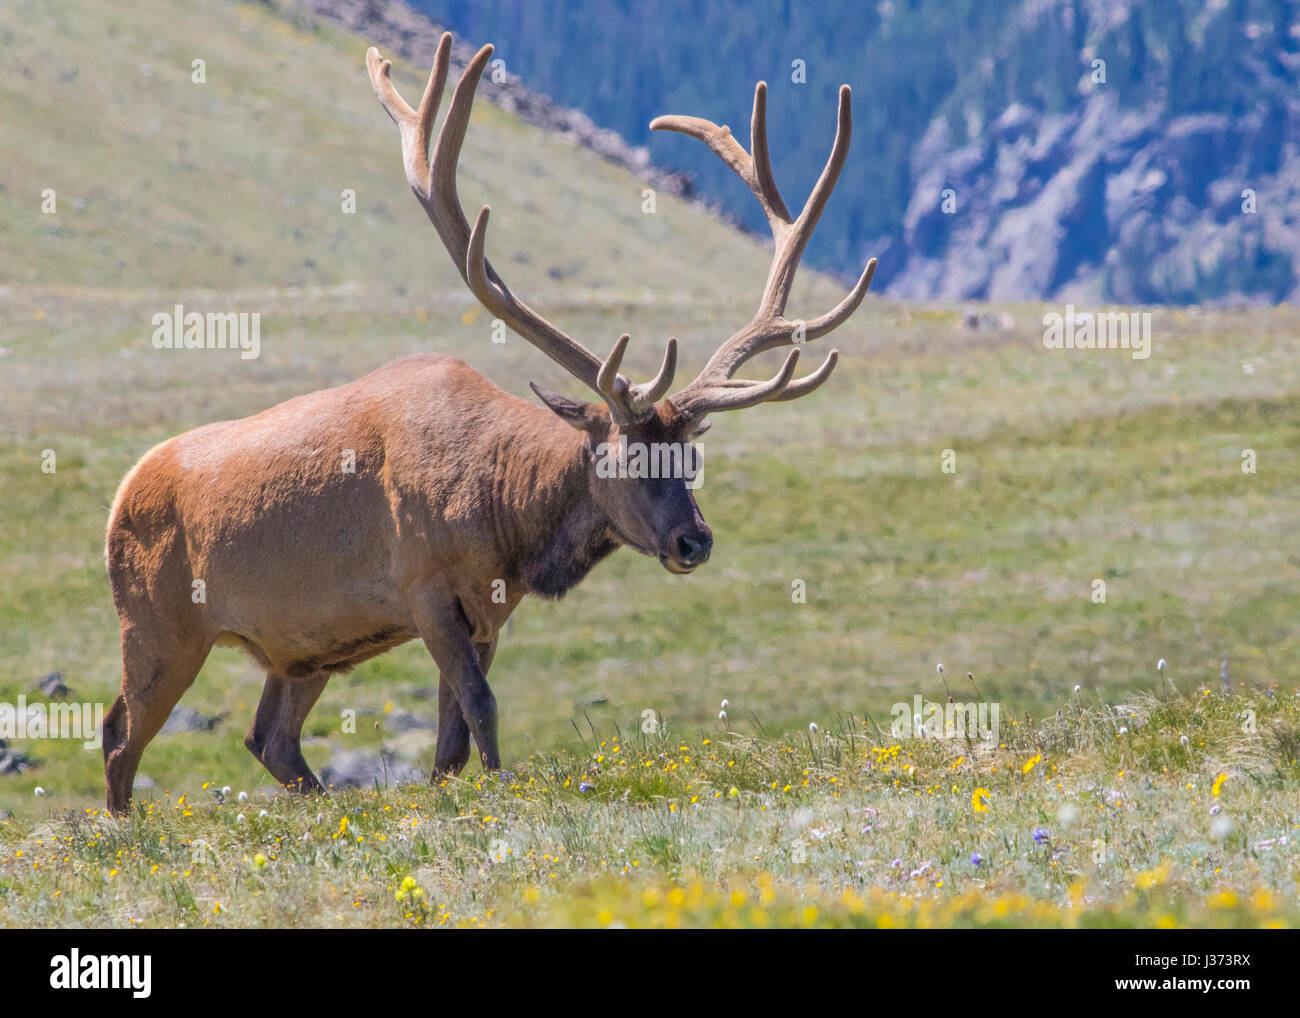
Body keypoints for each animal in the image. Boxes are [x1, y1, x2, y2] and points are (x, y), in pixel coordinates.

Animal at [101, 32, 875, 815]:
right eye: (629, 458)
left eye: (690, 459)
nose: (695, 540)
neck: (506, 518)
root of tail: (121, 495)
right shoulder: (426, 591)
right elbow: (481, 708)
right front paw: (502, 790)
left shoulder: (488, 613)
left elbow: (451, 739)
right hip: (157, 623)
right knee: (120, 734)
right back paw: (124, 826)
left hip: (305, 649)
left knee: (268, 739)